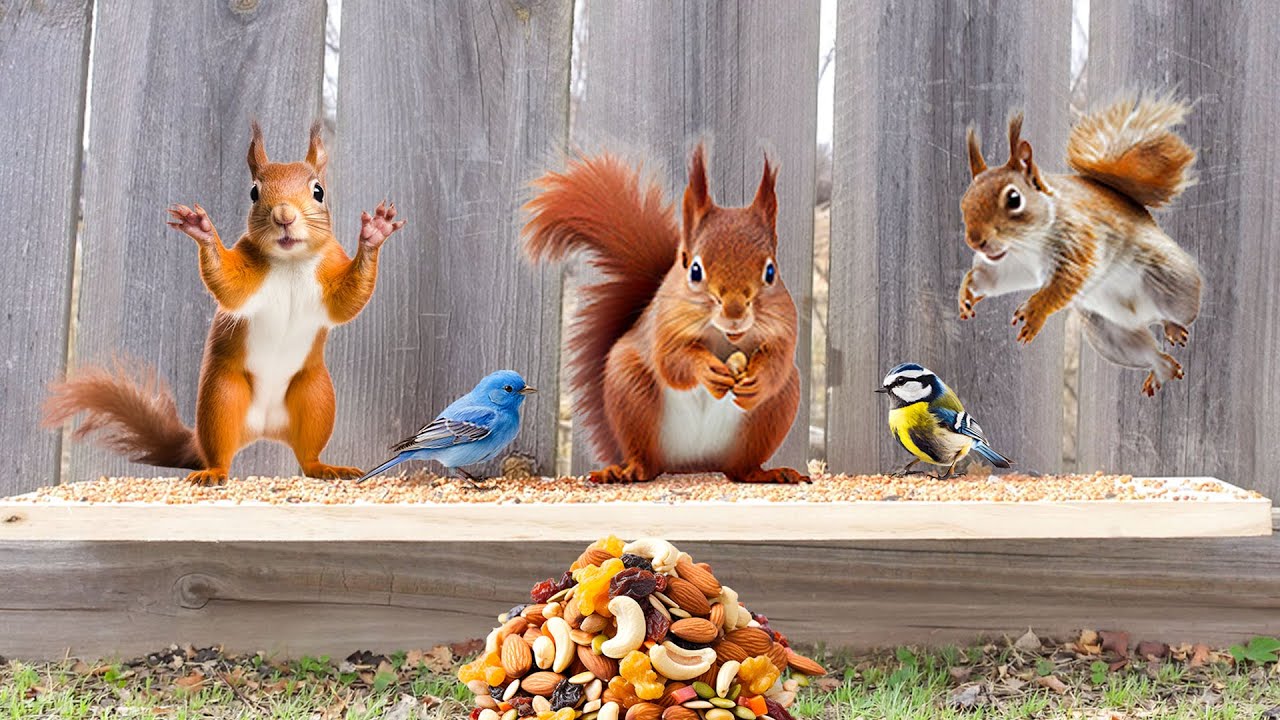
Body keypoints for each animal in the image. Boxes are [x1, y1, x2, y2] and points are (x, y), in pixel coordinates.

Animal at [43, 122, 405, 485]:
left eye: (318, 191)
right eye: (254, 193)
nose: (284, 215)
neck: (290, 262)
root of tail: (264, 428)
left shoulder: (329, 270)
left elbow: (347, 302)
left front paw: (375, 233)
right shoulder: (247, 273)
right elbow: (229, 287)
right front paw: (202, 230)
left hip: (315, 395)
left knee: (307, 454)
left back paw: (326, 468)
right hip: (222, 398)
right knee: (221, 450)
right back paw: (214, 472)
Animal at [523, 145, 806, 484]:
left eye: (771, 271)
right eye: (694, 269)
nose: (734, 313)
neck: (723, 335)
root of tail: (693, 465)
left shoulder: (784, 326)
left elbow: (778, 360)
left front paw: (758, 381)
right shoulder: (665, 323)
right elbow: (671, 361)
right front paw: (706, 369)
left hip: (775, 409)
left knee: (741, 467)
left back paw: (767, 473)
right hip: (631, 389)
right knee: (647, 461)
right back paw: (627, 470)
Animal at [959, 95, 1201, 396]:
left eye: (1014, 199)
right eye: (964, 201)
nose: (974, 240)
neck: (1026, 244)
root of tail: (1145, 316)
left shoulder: (1081, 239)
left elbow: (1068, 279)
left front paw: (1036, 311)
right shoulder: (1013, 265)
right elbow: (992, 279)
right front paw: (967, 292)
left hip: (1174, 287)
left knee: (1177, 314)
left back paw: (1172, 328)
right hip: (1109, 336)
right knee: (1149, 353)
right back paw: (1161, 369)